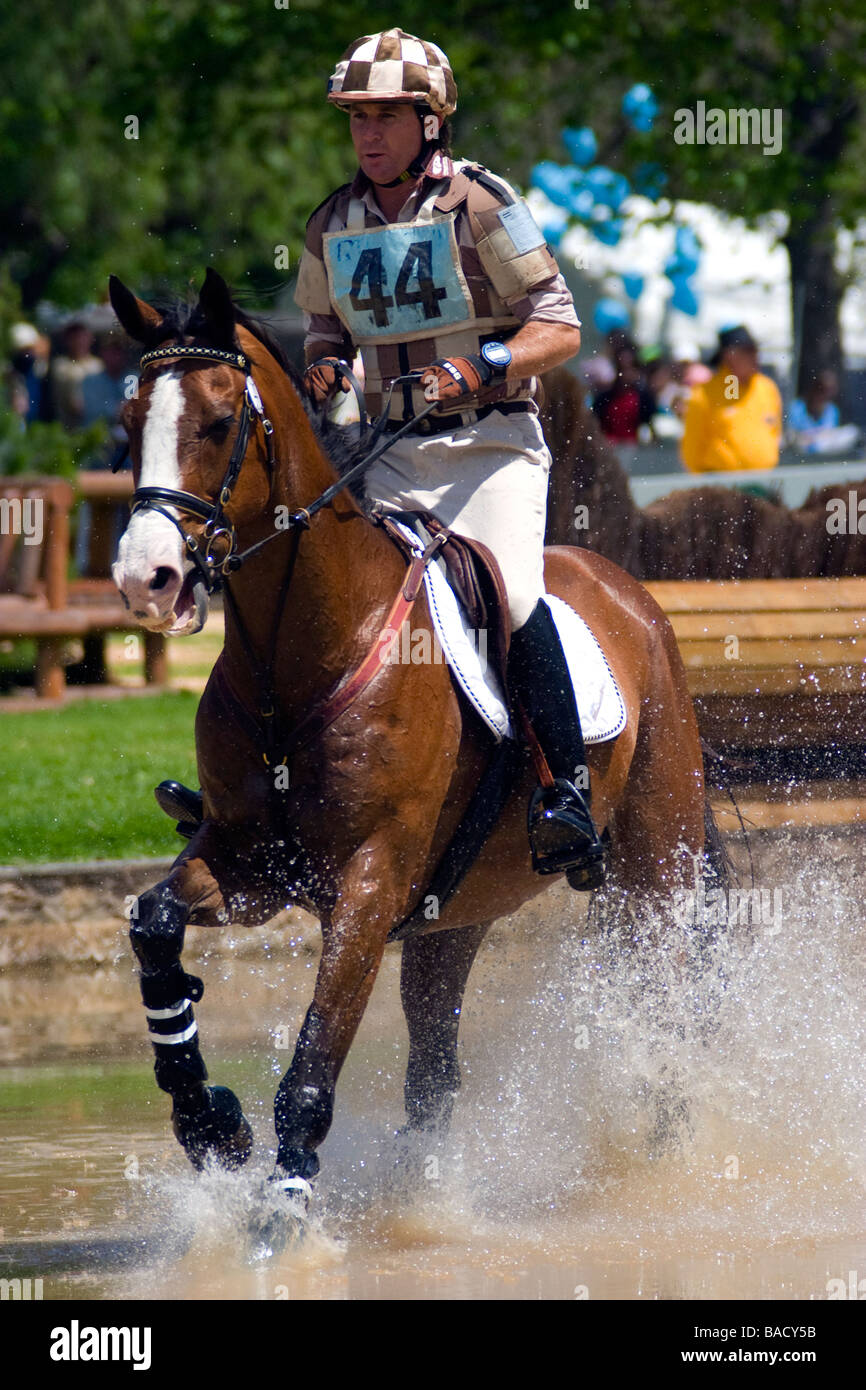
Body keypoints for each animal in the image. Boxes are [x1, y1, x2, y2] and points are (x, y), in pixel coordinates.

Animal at [108, 268, 722, 1206]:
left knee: (656, 1012)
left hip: (653, 872)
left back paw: (657, 1162)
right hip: (453, 914)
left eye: (216, 423)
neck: (302, 658)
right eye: (130, 422)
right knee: (434, 1070)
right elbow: (154, 922)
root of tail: (630, 595)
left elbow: (314, 1063)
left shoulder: (369, 886)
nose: (147, 578)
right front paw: (208, 1120)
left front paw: (283, 1217)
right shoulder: (253, 865)